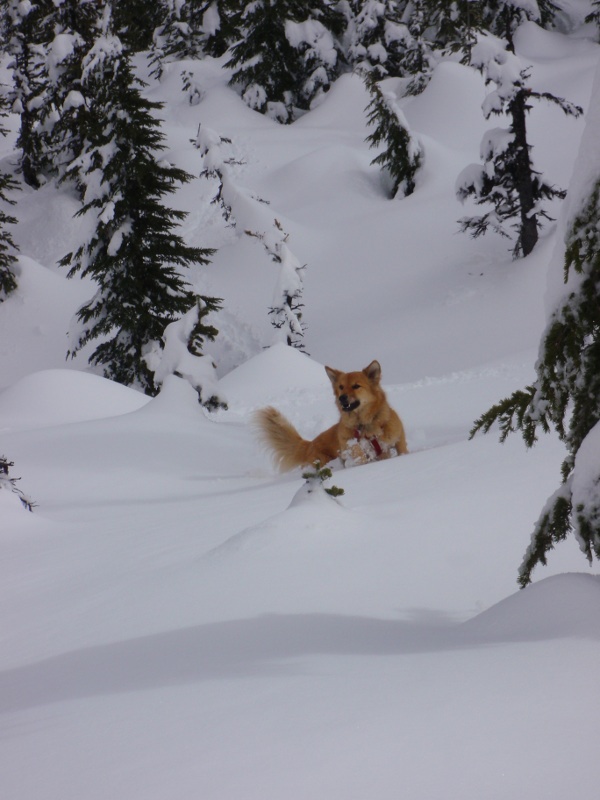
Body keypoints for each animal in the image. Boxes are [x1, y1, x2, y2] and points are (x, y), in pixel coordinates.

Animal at [253, 360, 408, 472]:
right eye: (340, 387)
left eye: (356, 386)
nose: (342, 398)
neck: (364, 425)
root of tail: (309, 444)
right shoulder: (349, 444)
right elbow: (358, 454)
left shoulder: (398, 438)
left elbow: (402, 451)